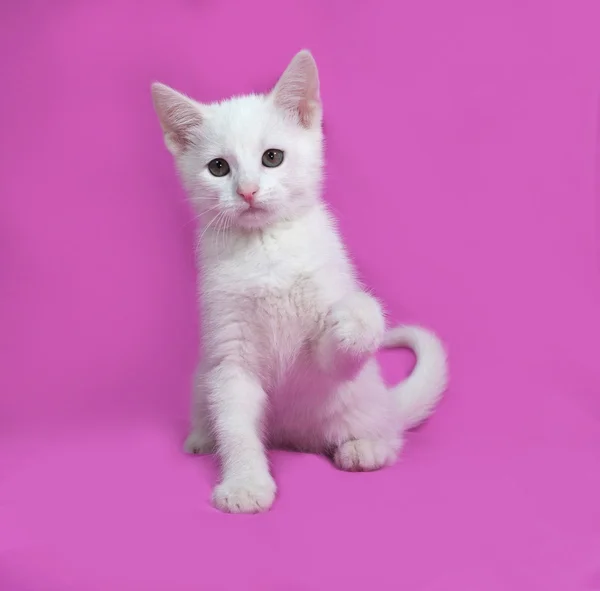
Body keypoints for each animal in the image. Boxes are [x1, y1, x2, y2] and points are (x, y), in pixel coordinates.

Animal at [152, 51, 448, 512]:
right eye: (218, 167)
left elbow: (340, 346)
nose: (248, 191)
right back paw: (202, 438)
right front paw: (245, 484)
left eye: (272, 157)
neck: (265, 247)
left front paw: (356, 319)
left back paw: (367, 447)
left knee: (390, 433)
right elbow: (236, 424)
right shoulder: (230, 350)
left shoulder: (323, 351)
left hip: (359, 400)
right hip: (203, 376)